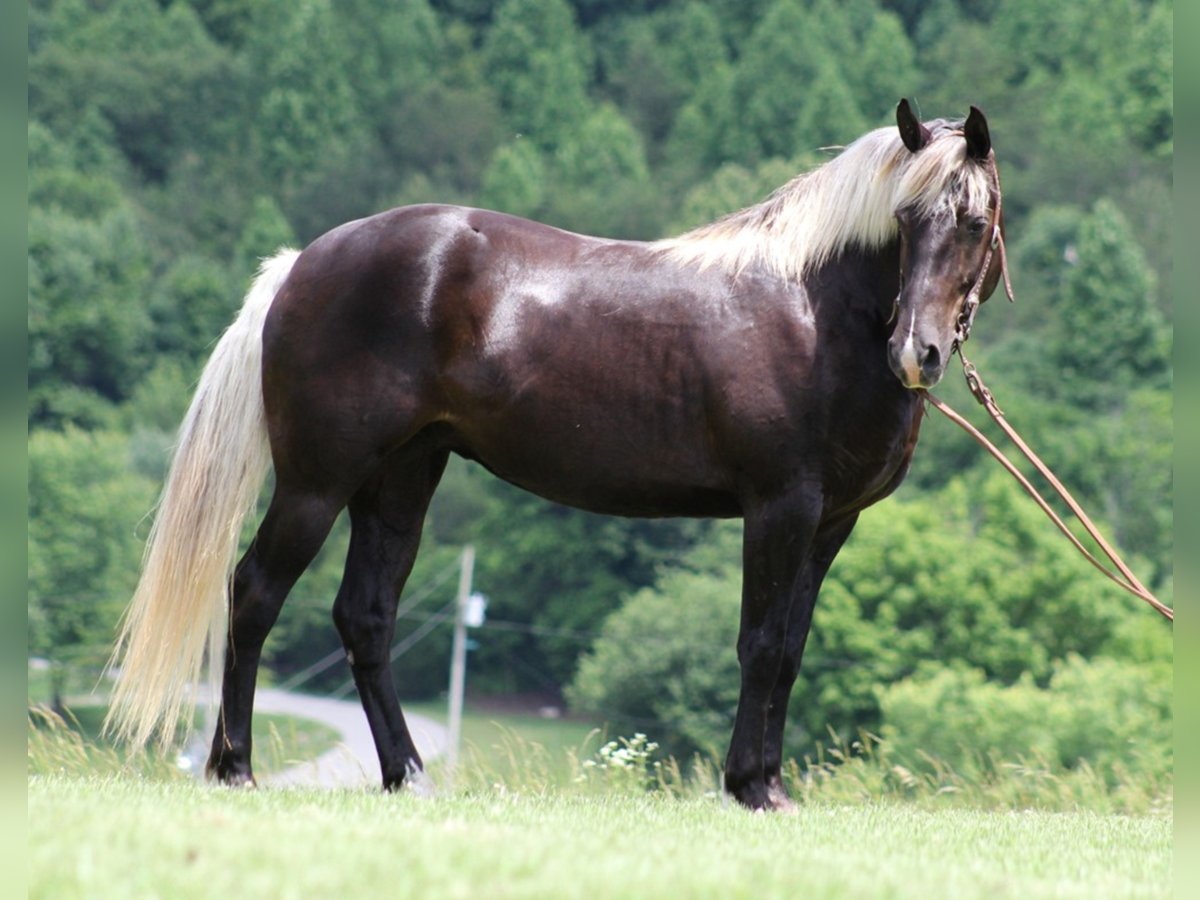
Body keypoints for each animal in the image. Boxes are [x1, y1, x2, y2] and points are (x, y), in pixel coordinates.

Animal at [105, 98, 1003, 811]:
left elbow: (789, 652)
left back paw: (408, 775)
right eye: (905, 219)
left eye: (973, 222)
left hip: (400, 480)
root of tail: (301, 266)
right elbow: (762, 645)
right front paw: (750, 787)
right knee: (253, 594)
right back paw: (236, 768)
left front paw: (770, 783)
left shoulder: (830, 523)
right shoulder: (780, 508)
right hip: (317, 484)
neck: (813, 309)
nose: (917, 352)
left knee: (364, 616)